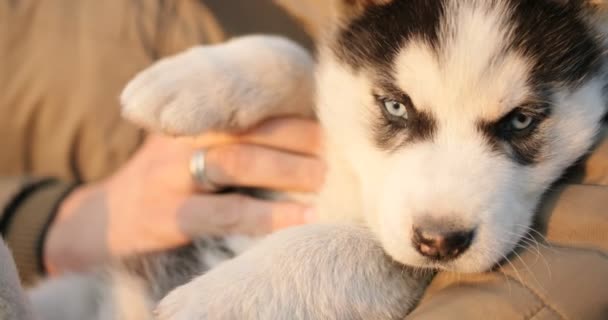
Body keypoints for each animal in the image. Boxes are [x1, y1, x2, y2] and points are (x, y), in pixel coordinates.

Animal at [0, 0, 604, 318]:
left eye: (522, 121)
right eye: (395, 105)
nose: (439, 241)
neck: (352, 179)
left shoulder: (402, 261)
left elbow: (359, 245)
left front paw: (214, 300)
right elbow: (303, 62)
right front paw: (192, 79)